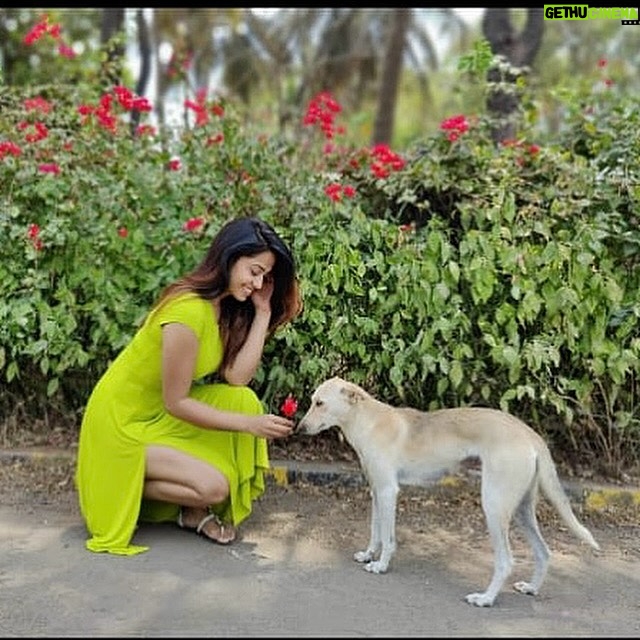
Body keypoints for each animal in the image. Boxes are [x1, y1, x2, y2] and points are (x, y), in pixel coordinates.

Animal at [298, 378, 604, 608]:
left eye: (320, 403)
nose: (299, 429)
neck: (367, 421)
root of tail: (529, 434)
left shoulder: (388, 491)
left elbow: (388, 537)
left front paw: (381, 565)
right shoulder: (376, 491)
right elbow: (375, 531)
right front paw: (368, 555)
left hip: (494, 506)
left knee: (506, 561)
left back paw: (485, 599)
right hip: (521, 509)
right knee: (543, 552)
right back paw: (531, 588)